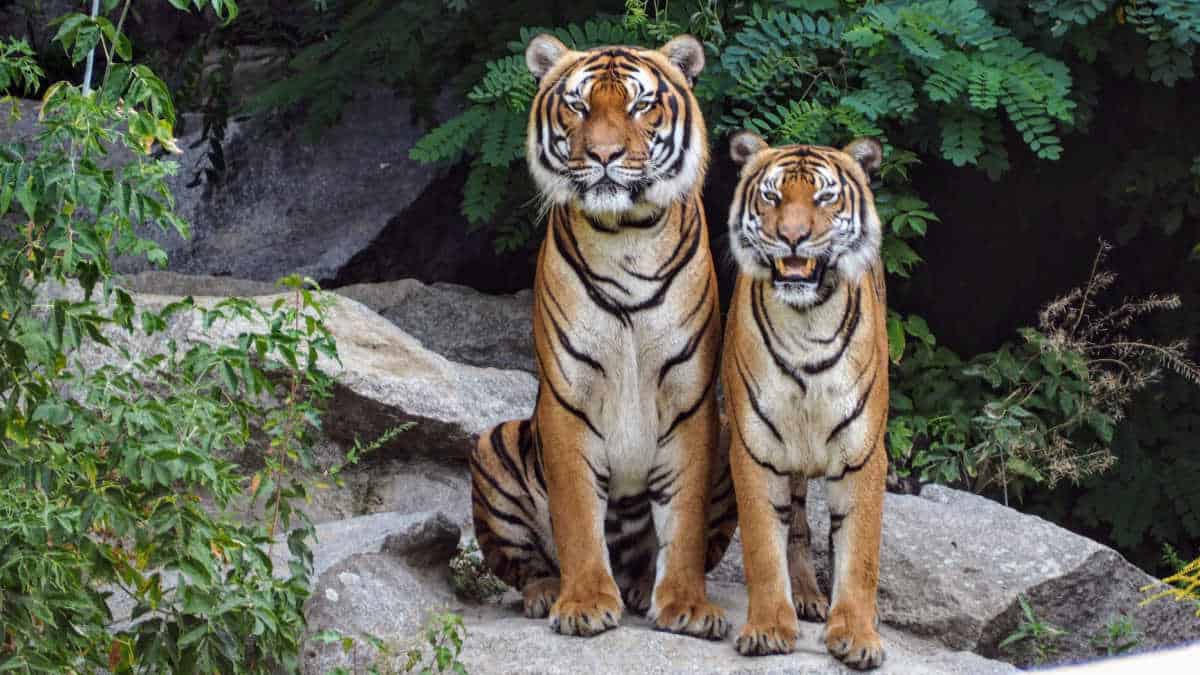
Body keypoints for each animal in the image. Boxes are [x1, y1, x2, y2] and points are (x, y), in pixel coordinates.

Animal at [465, 32, 734, 634]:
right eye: (578, 105)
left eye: (640, 105)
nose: (604, 155)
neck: (625, 234)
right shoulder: (569, 397)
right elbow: (577, 515)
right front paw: (585, 602)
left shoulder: (690, 398)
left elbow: (683, 520)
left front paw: (686, 605)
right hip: (494, 443)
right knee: (524, 563)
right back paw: (548, 591)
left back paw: (640, 586)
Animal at [715, 130, 888, 667]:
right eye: (772, 197)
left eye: (824, 198)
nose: (793, 236)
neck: (807, 321)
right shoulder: (753, 449)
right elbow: (762, 546)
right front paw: (769, 627)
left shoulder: (863, 453)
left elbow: (859, 554)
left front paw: (857, 635)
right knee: (794, 525)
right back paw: (807, 596)